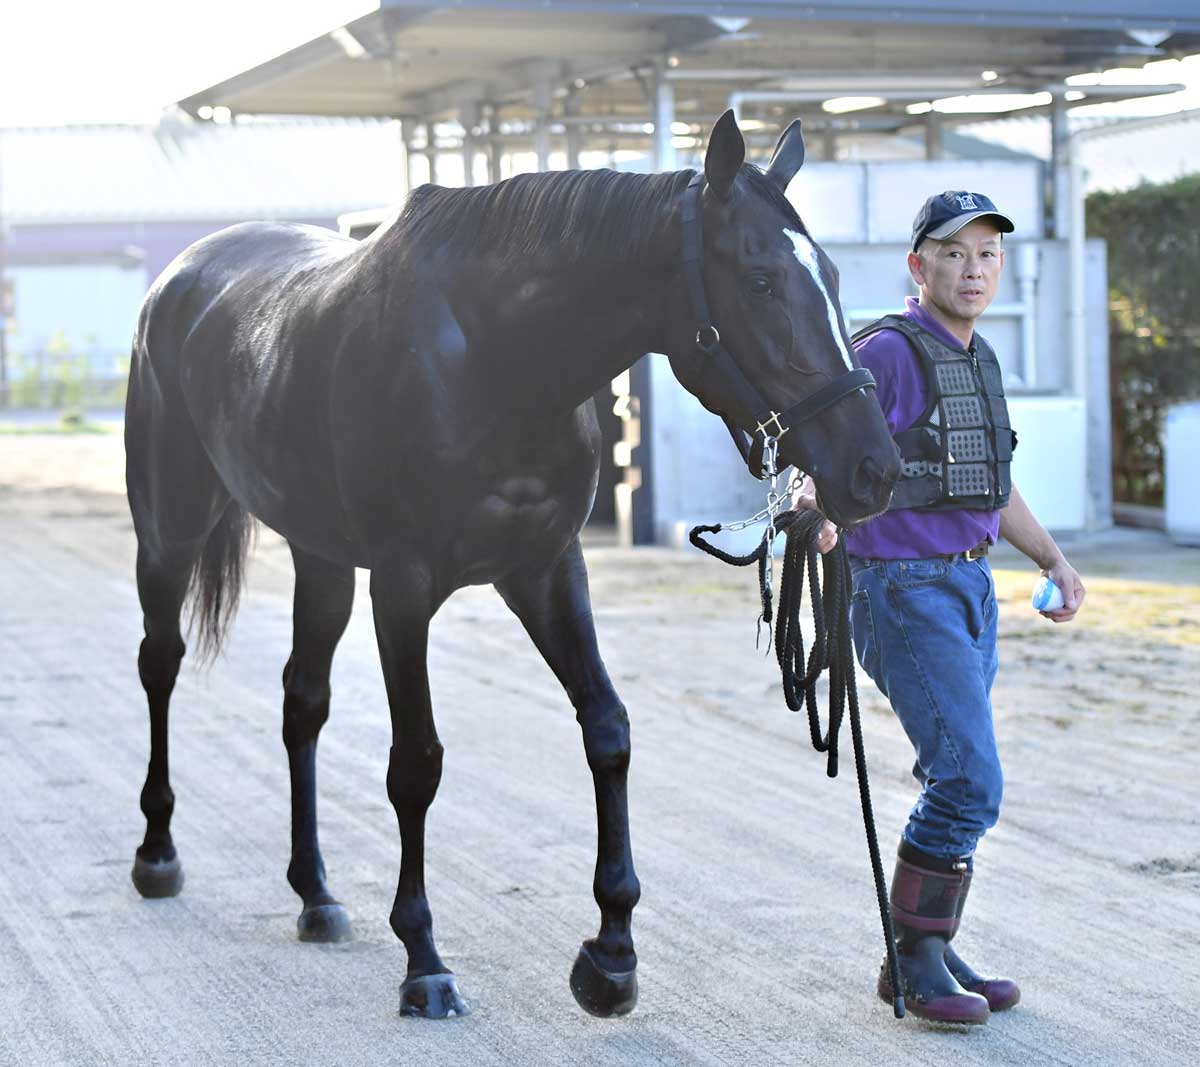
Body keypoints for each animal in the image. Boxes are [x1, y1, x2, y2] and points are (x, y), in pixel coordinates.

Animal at [123, 110, 901, 1019]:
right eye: (761, 281)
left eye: (834, 276)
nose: (874, 471)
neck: (494, 356)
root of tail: (179, 279)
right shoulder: (402, 586)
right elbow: (416, 764)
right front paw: (424, 958)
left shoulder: (546, 569)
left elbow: (608, 729)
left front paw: (611, 954)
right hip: (169, 531)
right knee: (161, 662)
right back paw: (157, 853)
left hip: (320, 559)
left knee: (302, 704)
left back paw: (315, 895)